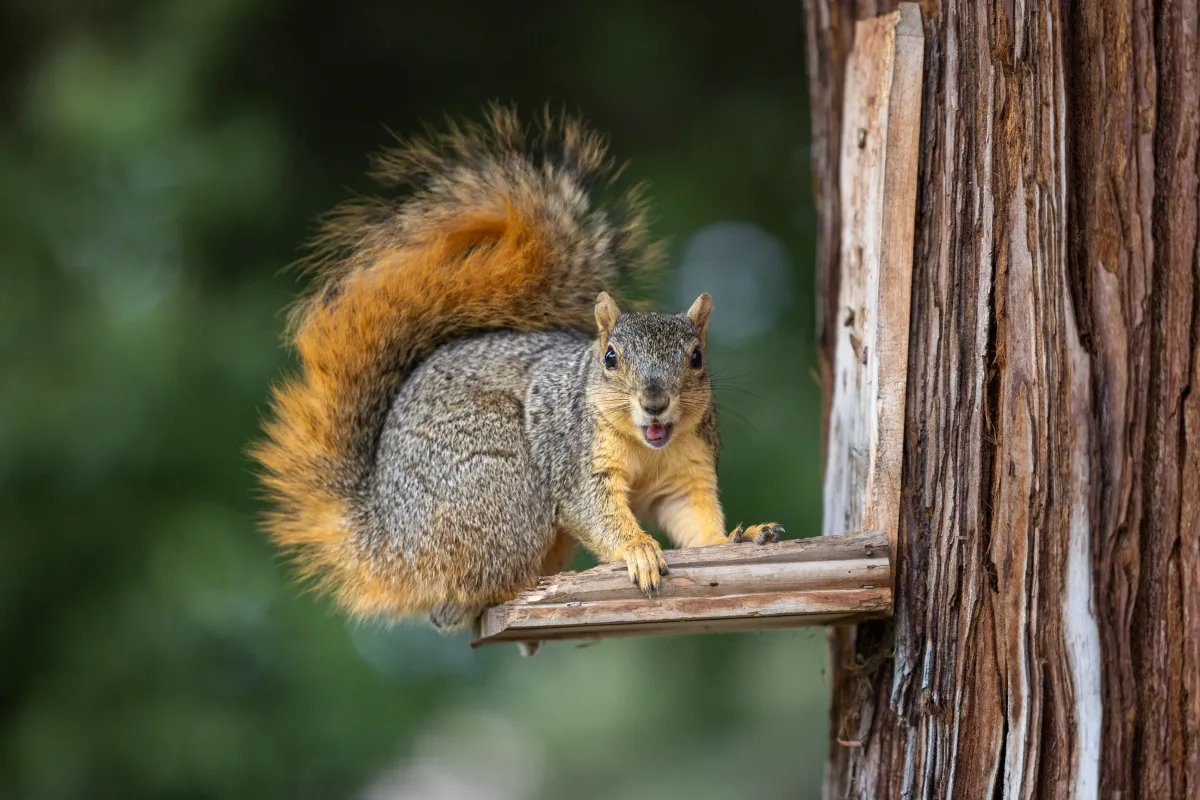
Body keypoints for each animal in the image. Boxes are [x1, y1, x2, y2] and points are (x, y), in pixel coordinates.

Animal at [251, 106, 783, 649]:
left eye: (696, 357)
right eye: (610, 358)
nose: (655, 402)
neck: (647, 446)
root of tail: (387, 544)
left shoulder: (684, 468)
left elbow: (693, 520)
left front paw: (738, 537)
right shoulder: (575, 459)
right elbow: (592, 508)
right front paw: (638, 548)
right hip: (498, 484)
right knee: (462, 601)